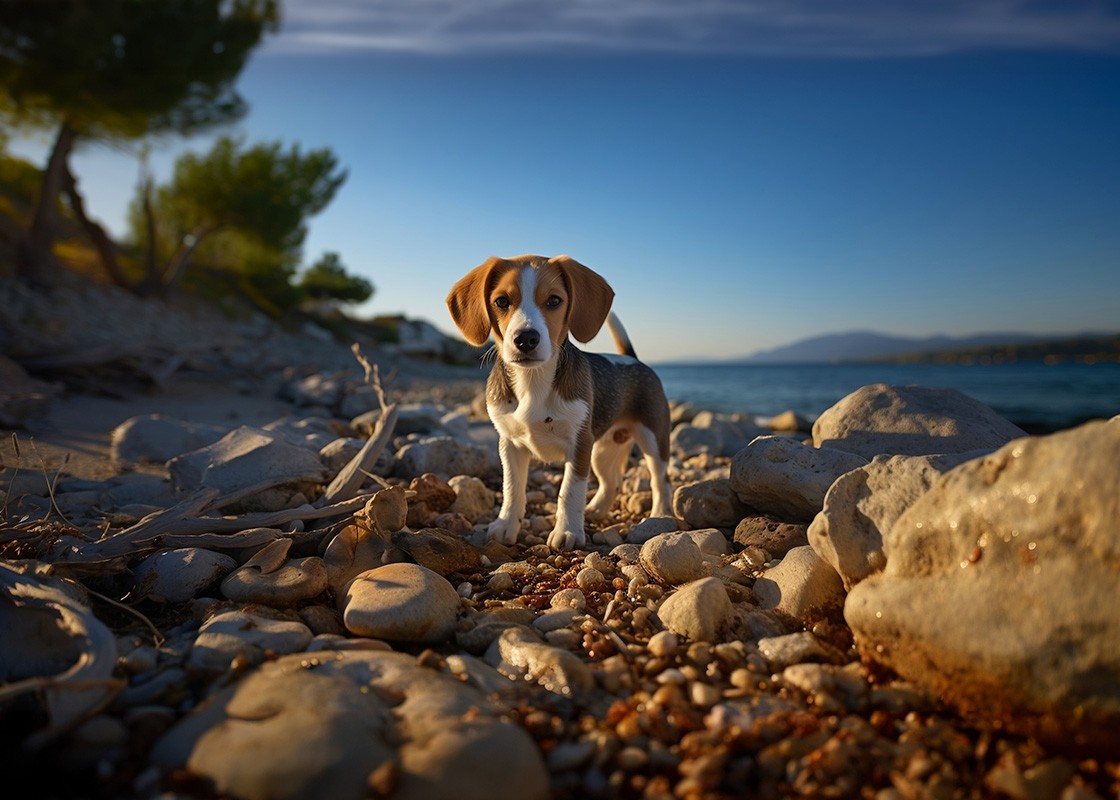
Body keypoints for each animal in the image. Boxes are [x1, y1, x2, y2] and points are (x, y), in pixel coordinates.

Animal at [448, 254, 672, 549]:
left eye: (554, 300)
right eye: (501, 301)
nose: (526, 339)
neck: (533, 381)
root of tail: (633, 359)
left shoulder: (579, 444)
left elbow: (570, 490)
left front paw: (567, 532)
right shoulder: (509, 444)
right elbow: (512, 489)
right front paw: (506, 525)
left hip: (652, 439)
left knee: (661, 481)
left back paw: (659, 516)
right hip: (602, 449)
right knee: (611, 482)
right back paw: (596, 509)